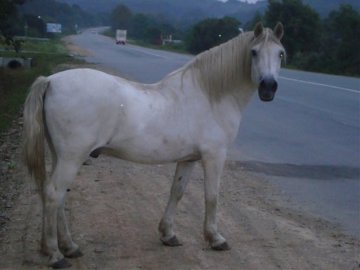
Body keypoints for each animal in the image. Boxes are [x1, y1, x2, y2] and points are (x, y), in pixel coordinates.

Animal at [23, 23, 286, 268]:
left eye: (281, 53)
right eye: (253, 52)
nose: (268, 87)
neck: (210, 95)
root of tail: (51, 80)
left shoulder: (188, 158)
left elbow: (177, 192)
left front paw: (168, 234)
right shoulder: (214, 156)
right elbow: (212, 196)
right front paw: (216, 238)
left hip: (61, 156)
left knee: (57, 197)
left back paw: (68, 247)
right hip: (72, 157)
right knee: (54, 194)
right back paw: (55, 254)